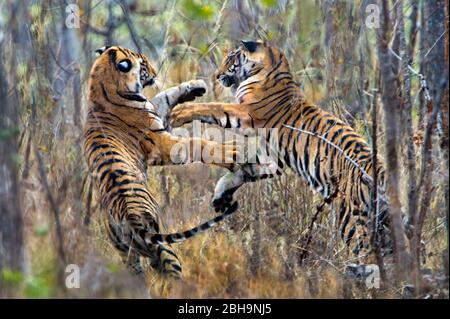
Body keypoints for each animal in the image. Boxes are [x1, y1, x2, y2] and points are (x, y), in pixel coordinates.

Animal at [82, 45, 241, 280]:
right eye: (144, 64)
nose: (155, 72)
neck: (101, 84)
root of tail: (129, 216)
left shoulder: (155, 114)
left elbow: (164, 96)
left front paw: (195, 86)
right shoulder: (160, 142)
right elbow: (196, 144)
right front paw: (232, 151)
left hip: (128, 254)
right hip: (162, 242)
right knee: (172, 272)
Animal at [170, 41, 394, 264]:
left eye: (231, 58)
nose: (216, 75)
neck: (273, 69)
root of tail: (382, 173)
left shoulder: (247, 114)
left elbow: (213, 107)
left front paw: (178, 113)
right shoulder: (273, 160)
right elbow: (243, 169)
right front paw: (220, 196)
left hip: (350, 218)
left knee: (366, 252)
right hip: (383, 223)